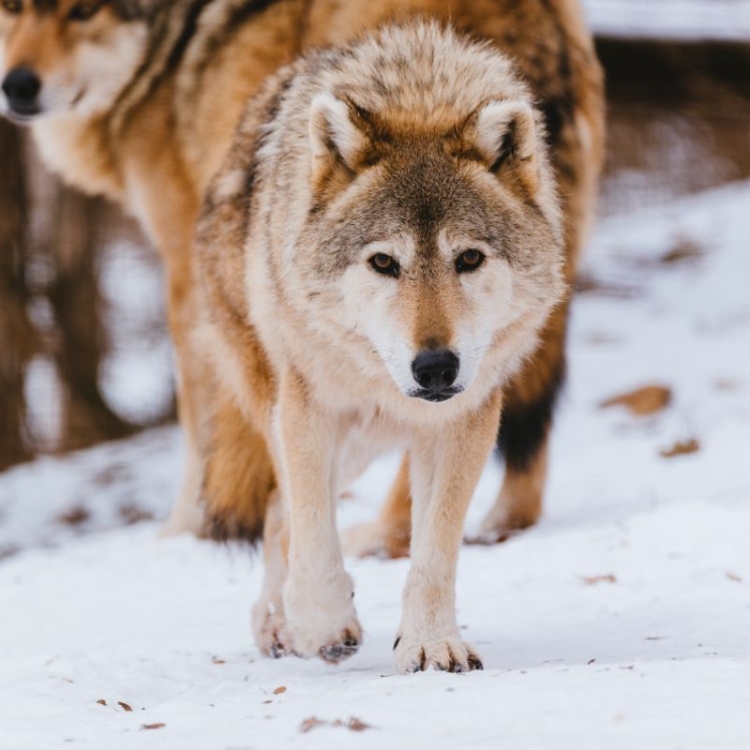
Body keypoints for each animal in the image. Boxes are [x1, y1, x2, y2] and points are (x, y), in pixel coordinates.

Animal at [195, 21, 566, 672]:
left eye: (469, 258)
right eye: (384, 263)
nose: (436, 367)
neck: (419, 92)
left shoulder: (465, 421)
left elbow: (434, 551)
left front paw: (431, 643)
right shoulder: (309, 408)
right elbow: (314, 533)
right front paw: (322, 621)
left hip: (363, 442)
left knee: (276, 510)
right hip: (298, 412)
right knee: (283, 511)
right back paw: (284, 624)